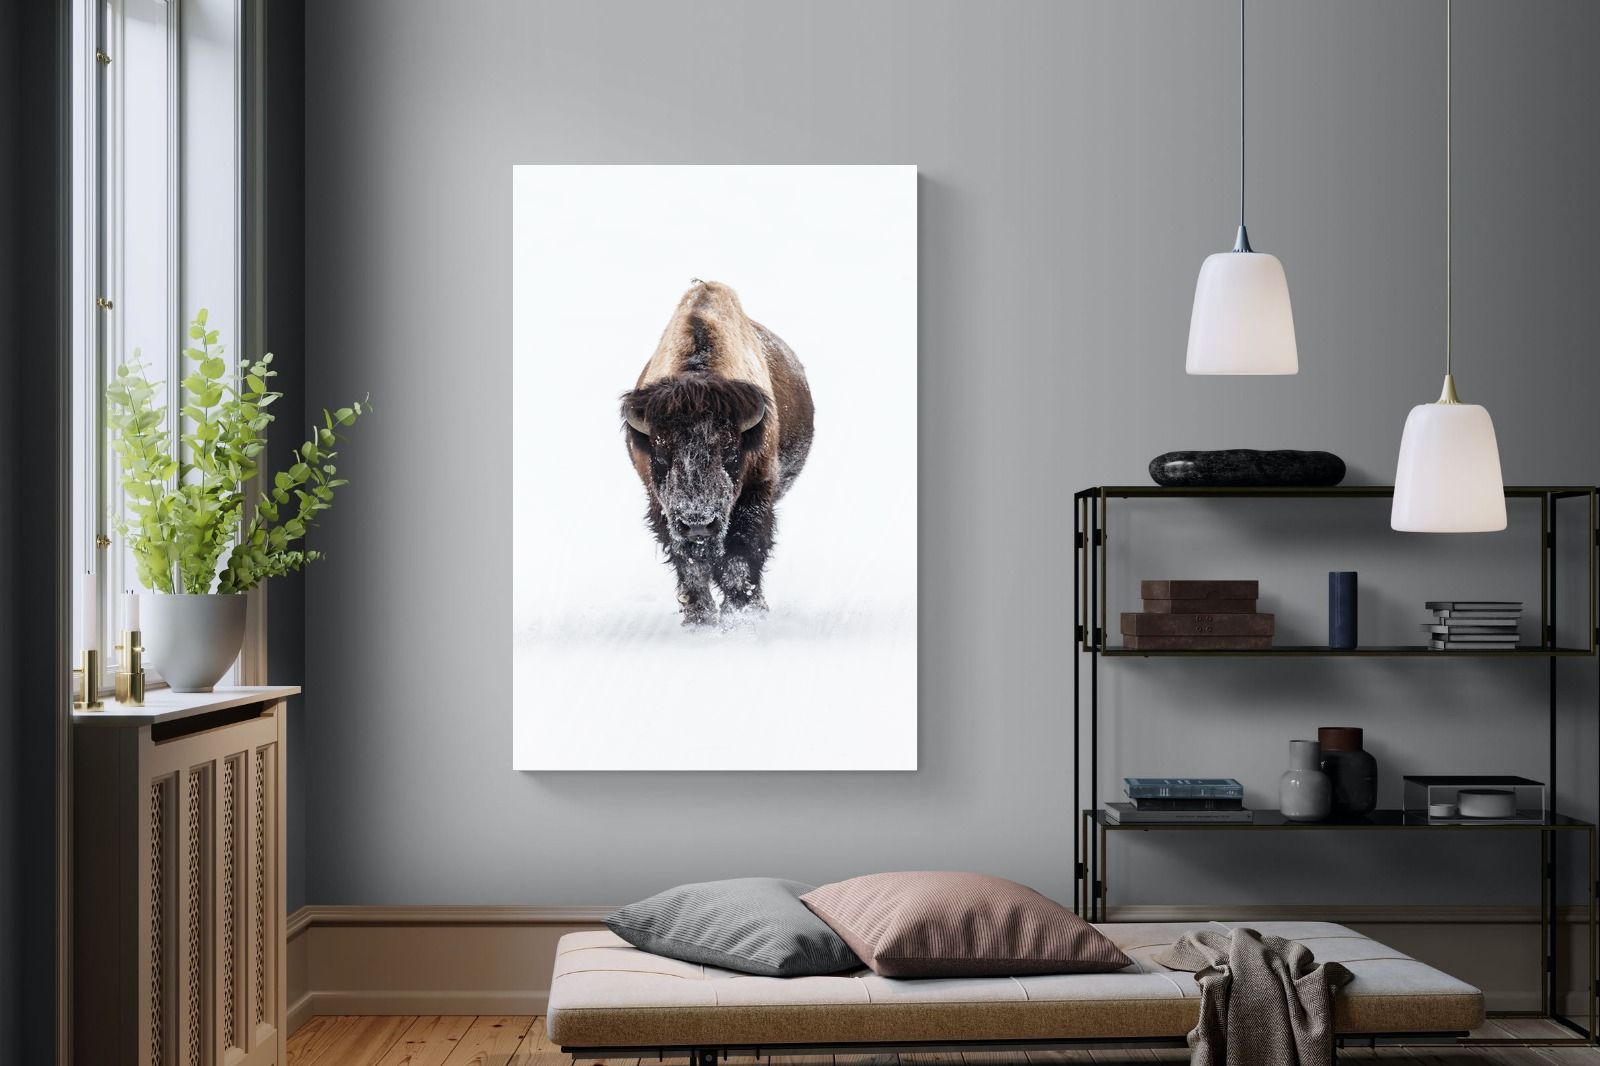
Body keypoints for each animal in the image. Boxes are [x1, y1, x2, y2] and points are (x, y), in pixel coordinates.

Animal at [621, 281, 814, 625]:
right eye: (661, 453)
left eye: (730, 451)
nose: (698, 524)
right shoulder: (662, 507)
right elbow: (690, 564)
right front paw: (699, 617)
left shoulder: (755, 495)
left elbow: (741, 555)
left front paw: (742, 613)